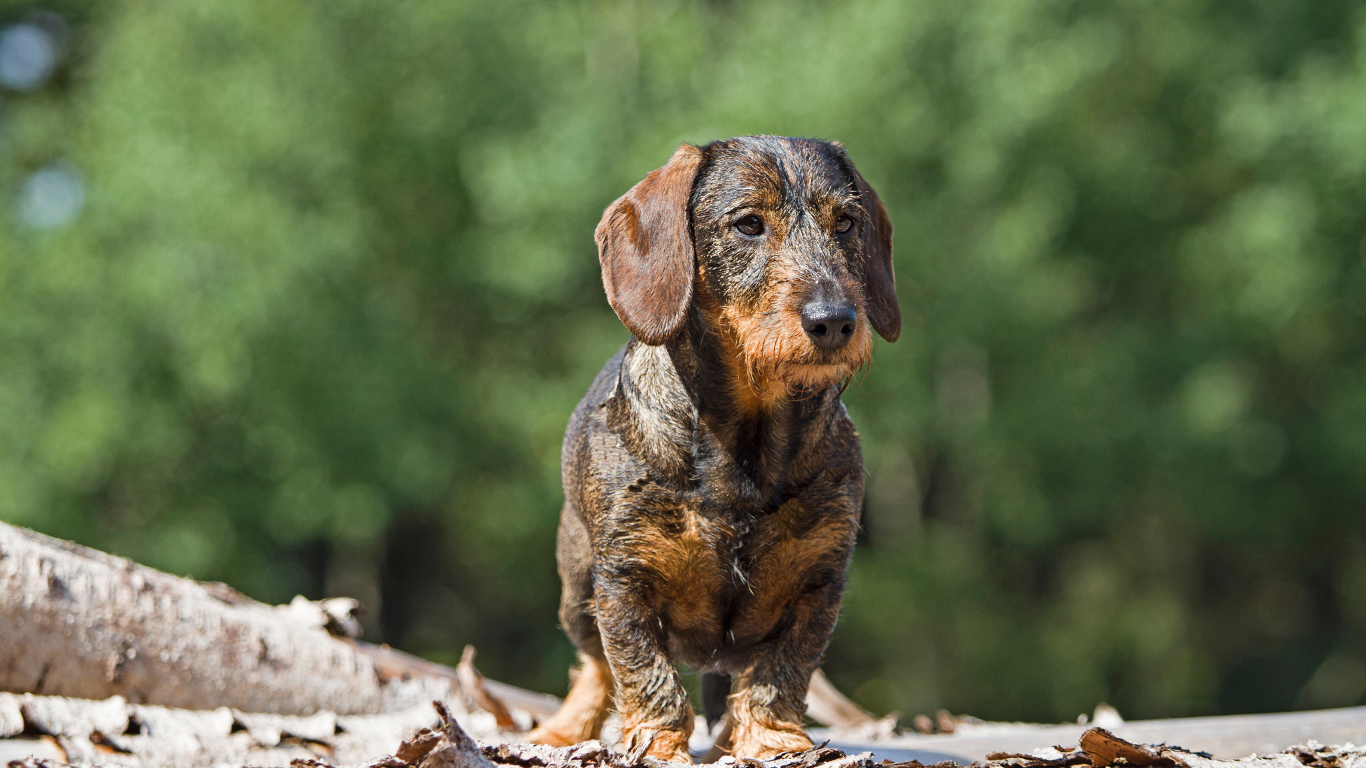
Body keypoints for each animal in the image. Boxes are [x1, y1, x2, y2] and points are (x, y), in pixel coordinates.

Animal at [527, 135, 901, 759]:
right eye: (748, 224)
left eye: (847, 223)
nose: (835, 321)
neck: (746, 448)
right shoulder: (624, 582)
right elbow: (643, 672)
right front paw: (656, 744)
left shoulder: (818, 585)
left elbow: (780, 673)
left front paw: (773, 740)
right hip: (577, 588)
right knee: (593, 664)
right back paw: (564, 728)